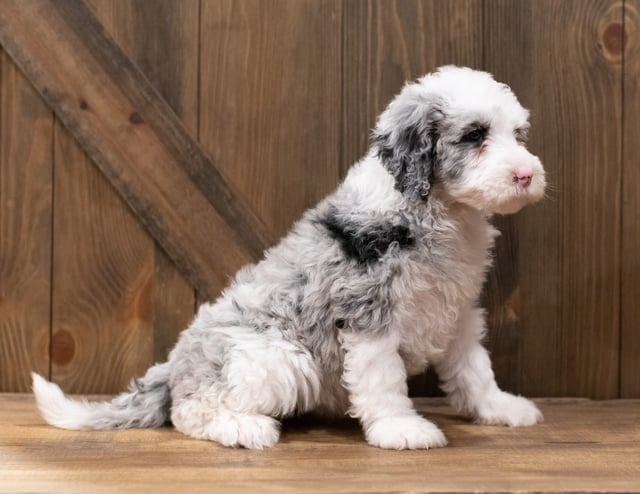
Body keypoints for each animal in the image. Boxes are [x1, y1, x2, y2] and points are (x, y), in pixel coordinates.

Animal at [32, 66, 544, 452]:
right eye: (474, 134)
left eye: (518, 134)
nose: (526, 174)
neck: (440, 212)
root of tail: (175, 364)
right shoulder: (368, 315)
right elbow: (384, 380)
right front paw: (402, 428)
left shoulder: (457, 311)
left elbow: (474, 369)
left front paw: (501, 408)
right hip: (280, 359)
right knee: (189, 410)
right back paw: (244, 428)